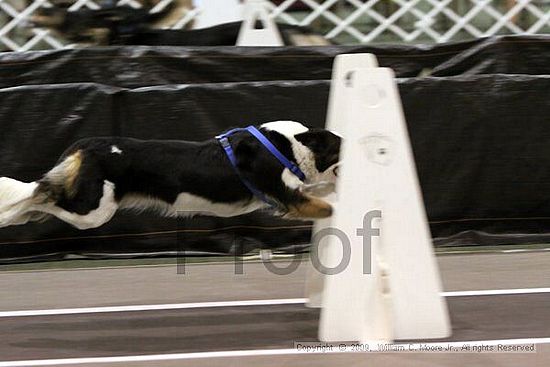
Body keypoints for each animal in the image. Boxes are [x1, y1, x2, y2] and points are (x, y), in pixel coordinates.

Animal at [0, 121, 342, 230]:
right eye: (342, 147)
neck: (291, 145)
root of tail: (83, 147)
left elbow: (323, 193)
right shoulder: (285, 195)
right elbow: (328, 207)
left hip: (90, 208)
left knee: (41, 199)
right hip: (94, 210)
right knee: (39, 194)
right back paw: (11, 213)